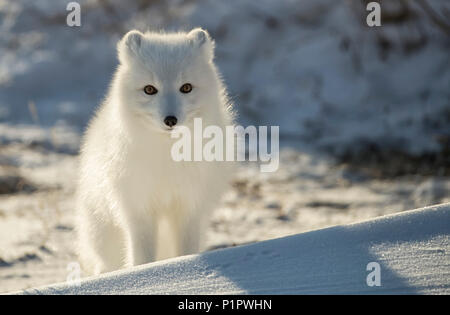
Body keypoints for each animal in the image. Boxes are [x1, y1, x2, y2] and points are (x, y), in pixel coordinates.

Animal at [76, 29, 236, 276]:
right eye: (149, 89)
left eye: (186, 87)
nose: (170, 120)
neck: (168, 156)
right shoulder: (138, 208)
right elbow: (142, 256)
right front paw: (144, 273)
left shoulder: (190, 206)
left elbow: (186, 250)